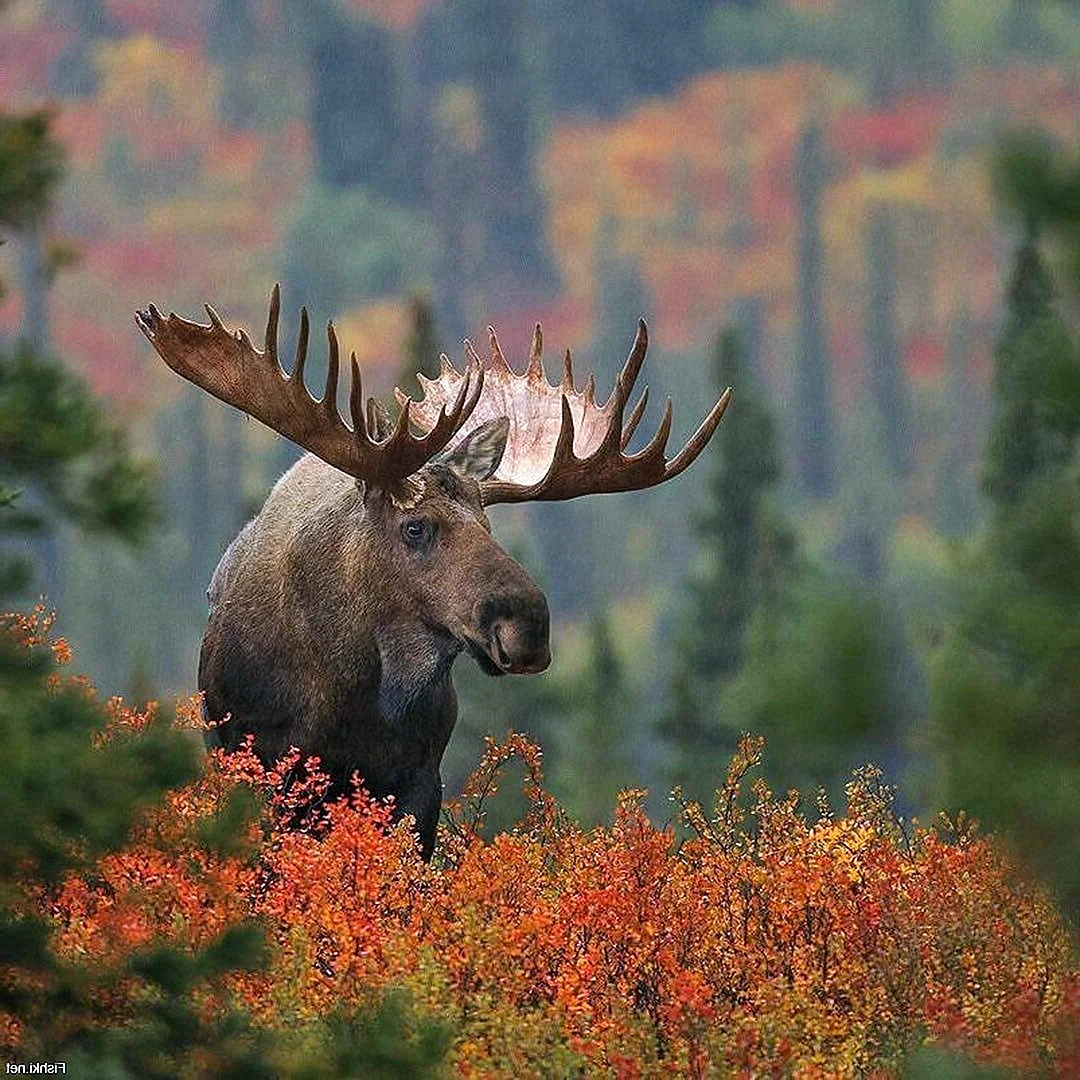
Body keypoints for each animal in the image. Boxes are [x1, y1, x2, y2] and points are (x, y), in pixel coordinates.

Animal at [136, 286, 731, 858]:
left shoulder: (421, 781)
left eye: (488, 524)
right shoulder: (260, 767)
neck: (343, 692)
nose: (528, 625)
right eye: (415, 527)